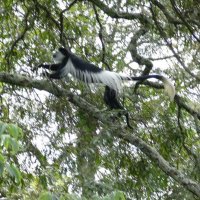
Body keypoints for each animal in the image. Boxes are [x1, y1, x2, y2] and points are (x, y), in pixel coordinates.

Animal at [37, 47, 175, 127]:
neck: (68, 56)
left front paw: (46, 74)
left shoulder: (67, 63)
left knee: (112, 100)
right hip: (109, 87)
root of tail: (115, 75)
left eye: (57, 52)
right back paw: (111, 112)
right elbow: (55, 66)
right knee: (107, 99)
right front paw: (42, 65)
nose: (53, 54)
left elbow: (60, 74)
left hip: (112, 88)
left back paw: (124, 114)